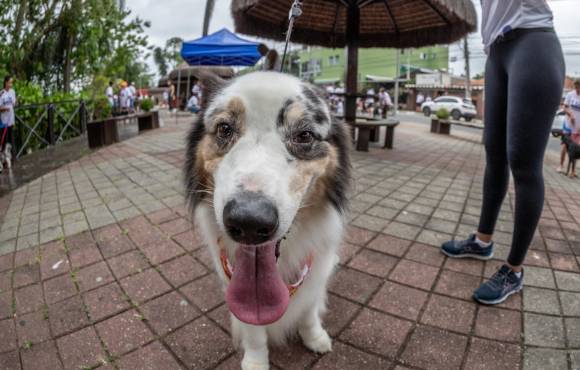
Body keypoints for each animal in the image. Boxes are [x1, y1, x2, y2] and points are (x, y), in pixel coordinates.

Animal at [184, 71, 352, 368]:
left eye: (304, 135)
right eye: (224, 129)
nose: (249, 222)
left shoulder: (315, 270)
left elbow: (309, 309)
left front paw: (315, 337)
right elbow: (253, 333)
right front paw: (256, 361)